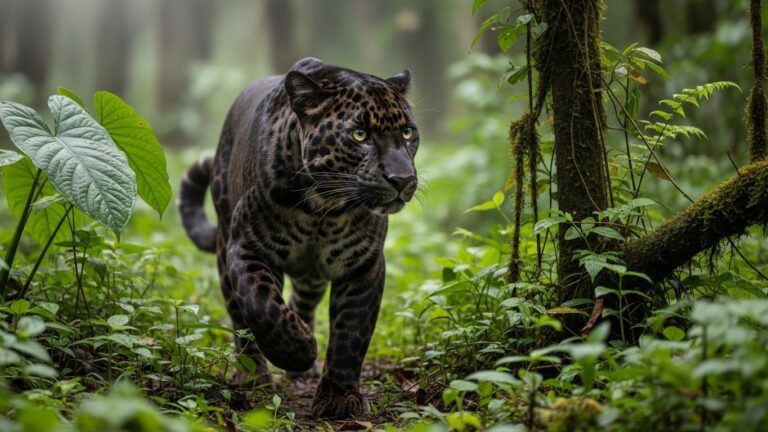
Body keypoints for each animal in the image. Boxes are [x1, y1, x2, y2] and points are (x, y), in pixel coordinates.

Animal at [178, 57, 419, 419]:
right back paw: (255, 377)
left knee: (301, 303)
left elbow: (351, 333)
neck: (324, 209)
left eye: (407, 132)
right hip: (224, 245)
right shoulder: (246, 246)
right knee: (241, 319)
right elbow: (261, 304)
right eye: (360, 134)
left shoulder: (363, 265)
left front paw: (339, 398)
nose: (403, 180)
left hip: (312, 276)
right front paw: (298, 350)